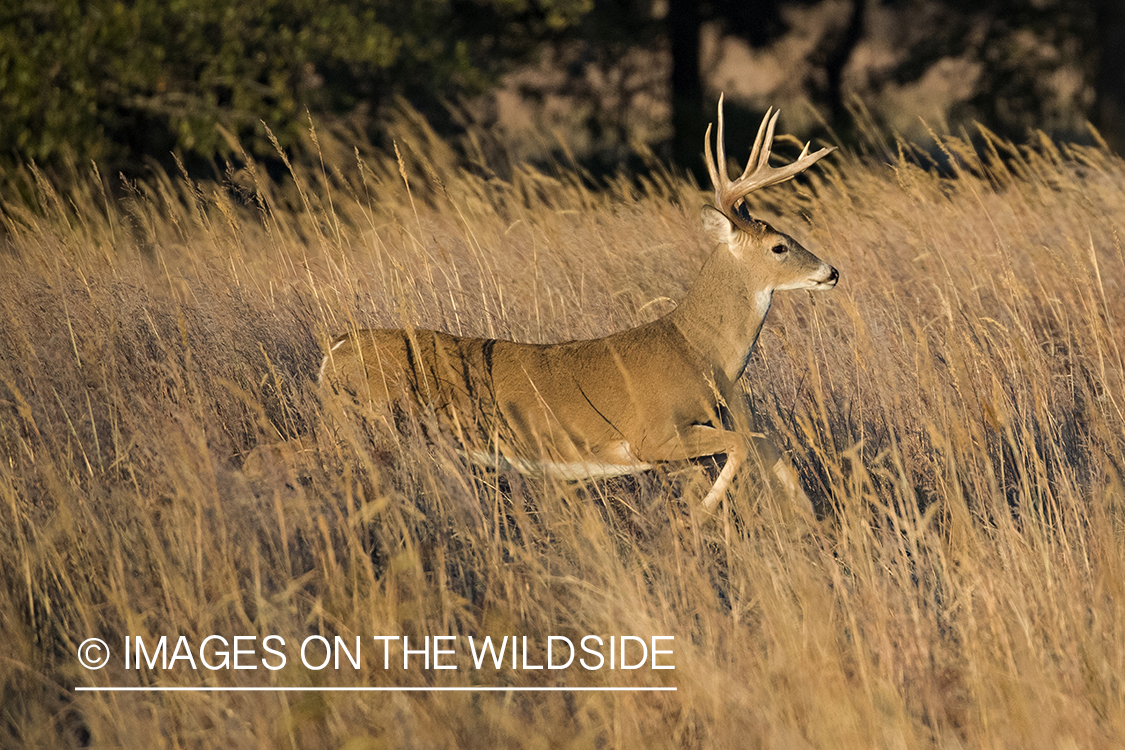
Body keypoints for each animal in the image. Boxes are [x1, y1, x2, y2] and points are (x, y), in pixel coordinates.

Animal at [315, 96, 837, 512]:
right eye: (779, 247)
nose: (831, 271)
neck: (699, 352)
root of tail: (334, 351)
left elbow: (768, 446)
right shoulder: (652, 435)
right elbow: (743, 446)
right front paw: (700, 515)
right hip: (375, 422)